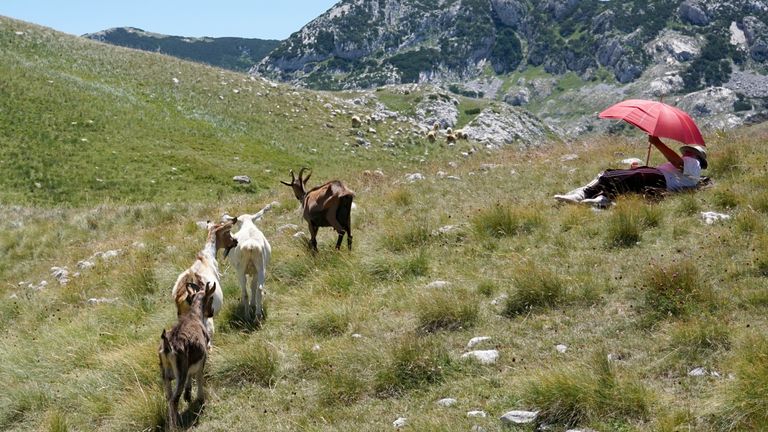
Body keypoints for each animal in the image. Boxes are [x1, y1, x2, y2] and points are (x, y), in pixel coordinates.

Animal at [158, 280, 214, 428]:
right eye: (211, 298)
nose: (211, 312)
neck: (194, 317)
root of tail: (167, 347)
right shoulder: (203, 357)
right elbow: (199, 376)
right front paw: (200, 399)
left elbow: (191, 374)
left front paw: (188, 395)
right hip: (179, 372)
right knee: (174, 399)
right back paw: (175, 426)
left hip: (165, 373)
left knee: (169, 397)